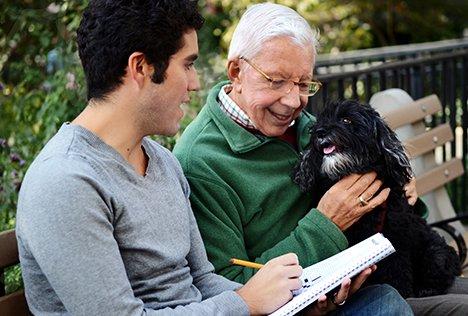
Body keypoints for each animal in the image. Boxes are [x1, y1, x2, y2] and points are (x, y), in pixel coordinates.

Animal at [292, 99, 460, 298]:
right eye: (321, 120)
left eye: (346, 120)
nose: (319, 132)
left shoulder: (395, 237)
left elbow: (396, 269)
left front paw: (401, 291)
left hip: (435, 252)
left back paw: (428, 288)